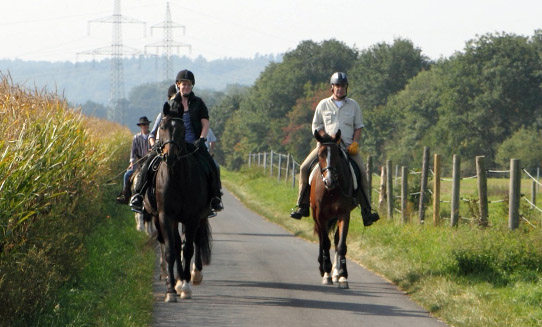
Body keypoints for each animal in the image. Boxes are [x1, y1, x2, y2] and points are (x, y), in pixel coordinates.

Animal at [144, 104, 215, 304]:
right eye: (162, 127)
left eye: (183, 129)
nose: (170, 156)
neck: (177, 177)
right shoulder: (166, 216)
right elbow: (171, 250)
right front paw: (171, 289)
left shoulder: (192, 217)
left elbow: (188, 248)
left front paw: (185, 286)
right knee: (176, 245)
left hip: (201, 216)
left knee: (196, 242)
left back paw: (194, 275)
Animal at [310, 131, 356, 290]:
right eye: (320, 155)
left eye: (337, 155)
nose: (329, 180)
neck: (331, 191)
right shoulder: (320, 216)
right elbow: (325, 243)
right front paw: (327, 274)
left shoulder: (344, 214)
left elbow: (341, 244)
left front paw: (342, 276)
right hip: (317, 217)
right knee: (321, 239)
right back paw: (323, 268)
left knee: (335, 240)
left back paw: (335, 273)